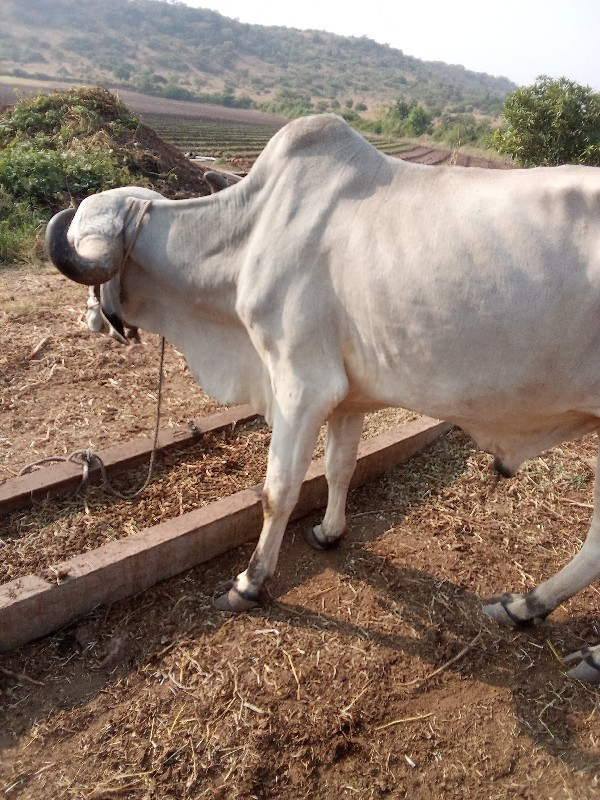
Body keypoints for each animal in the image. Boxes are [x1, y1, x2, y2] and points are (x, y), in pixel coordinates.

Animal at [45, 112, 600, 680]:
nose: (90, 319)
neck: (250, 235)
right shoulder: (348, 398)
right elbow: (339, 467)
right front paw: (329, 533)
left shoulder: (301, 389)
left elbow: (278, 491)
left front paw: (248, 584)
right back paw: (524, 607)